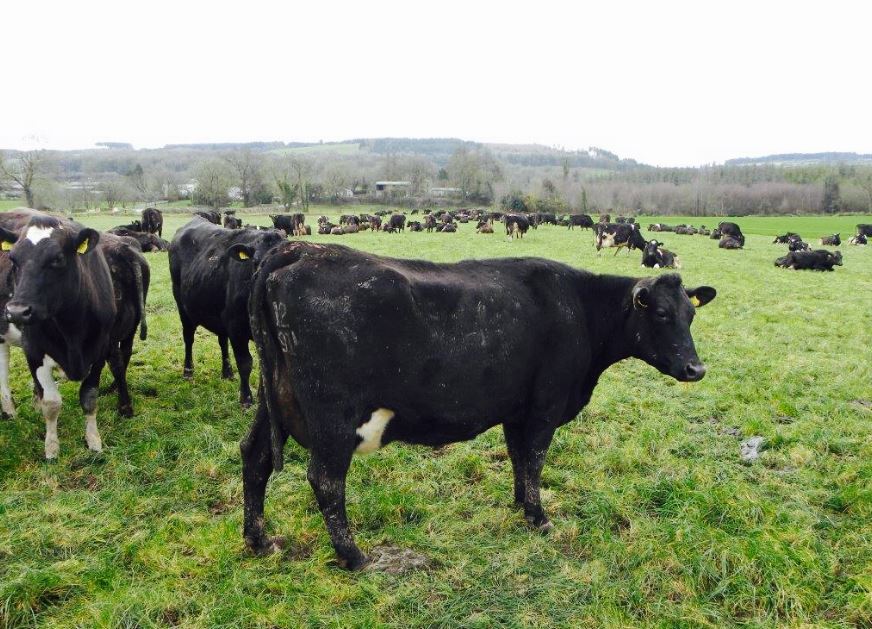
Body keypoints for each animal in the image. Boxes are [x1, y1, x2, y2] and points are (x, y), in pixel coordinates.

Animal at [1, 214, 149, 459]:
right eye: (13, 259)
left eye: (58, 258)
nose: (17, 311)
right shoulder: (34, 351)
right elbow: (52, 403)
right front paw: (51, 448)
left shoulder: (99, 350)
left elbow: (89, 397)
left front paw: (94, 441)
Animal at [168, 217, 285, 407]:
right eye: (256, 262)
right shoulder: (236, 328)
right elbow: (245, 363)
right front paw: (246, 399)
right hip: (183, 307)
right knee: (188, 338)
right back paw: (188, 371)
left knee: (222, 341)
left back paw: (227, 372)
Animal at [240, 242, 717, 569]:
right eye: (660, 315)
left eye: (691, 315)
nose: (696, 368)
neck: (579, 309)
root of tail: (297, 249)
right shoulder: (545, 406)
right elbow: (536, 458)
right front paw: (539, 517)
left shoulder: (516, 410)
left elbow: (519, 458)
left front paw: (520, 504)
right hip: (333, 418)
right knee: (325, 479)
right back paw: (354, 556)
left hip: (272, 399)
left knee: (255, 456)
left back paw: (259, 541)